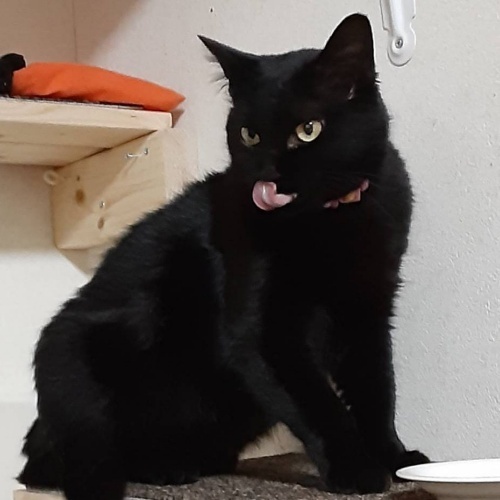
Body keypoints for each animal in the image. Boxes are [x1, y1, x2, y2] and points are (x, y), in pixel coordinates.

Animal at [18, 13, 429, 500]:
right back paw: (163, 468)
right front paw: (358, 469)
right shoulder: (262, 335)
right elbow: (320, 403)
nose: (268, 175)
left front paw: (397, 460)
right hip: (76, 354)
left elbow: (377, 391)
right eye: (249, 134)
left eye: (308, 130)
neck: (332, 221)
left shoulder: (368, 311)